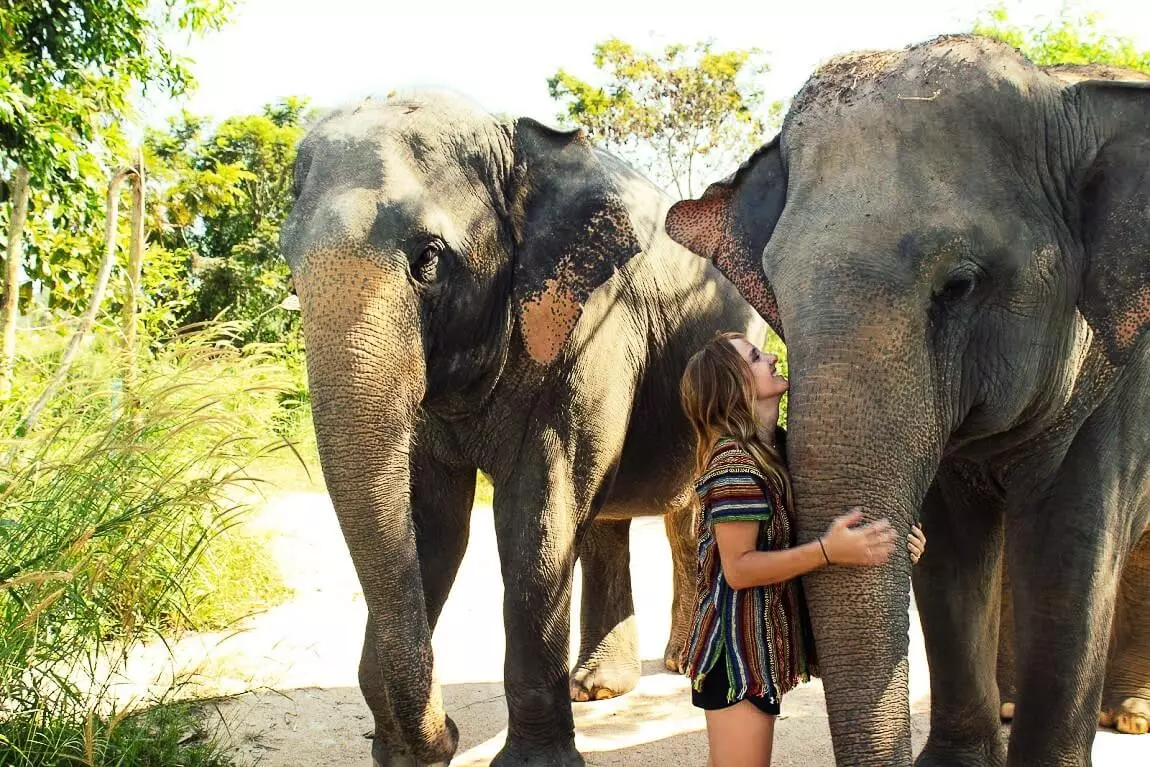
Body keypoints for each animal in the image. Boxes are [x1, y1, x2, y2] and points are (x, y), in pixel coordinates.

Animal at [278, 91, 759, 767]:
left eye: (428, 259)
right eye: (290, 266)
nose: (449, 736)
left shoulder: (591, 325)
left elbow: (535, 522)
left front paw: (532, 764)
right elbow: (434, 524)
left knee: (683, 515)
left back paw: (676, 667)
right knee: (607, 523)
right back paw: (598, 687)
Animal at [662, 34, 1150, 767]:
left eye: (960, 284)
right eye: (776, 293)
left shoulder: (1123, 375)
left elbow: (1069, 553)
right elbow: (950, 555)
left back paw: (1130, 715)